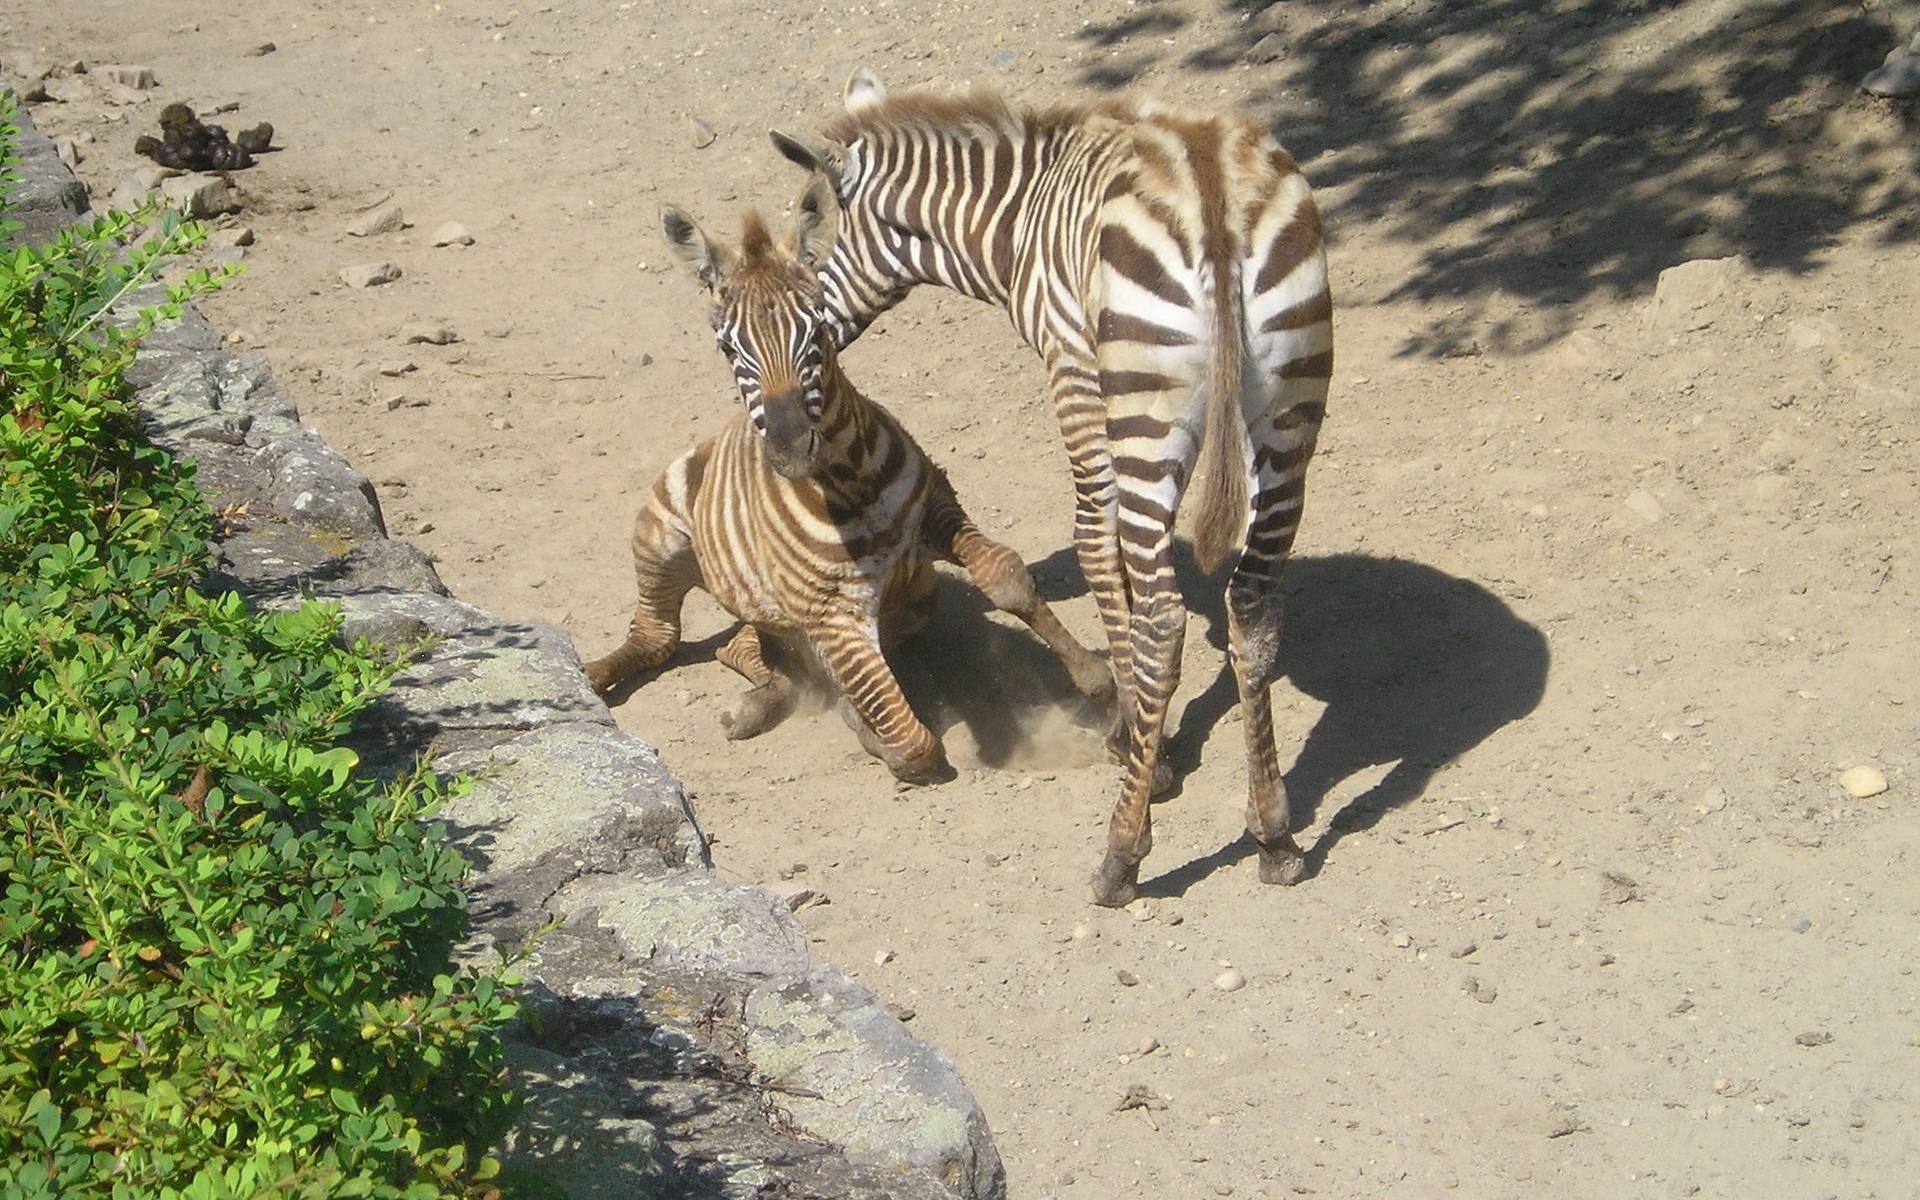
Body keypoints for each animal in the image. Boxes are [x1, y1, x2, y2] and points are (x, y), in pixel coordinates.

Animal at [579, 182, 1113, 787]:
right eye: (726, 347)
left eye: (818, 328)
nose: (789, 446)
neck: (851, 481)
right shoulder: (834, 617)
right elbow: (915, 744)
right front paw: (865, 727)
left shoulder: (936, 510)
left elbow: (1006, 575)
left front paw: (1101, 687)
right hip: (662, 540)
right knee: (657, 637)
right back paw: (593, 676)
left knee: (739, 648)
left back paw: (754, 703)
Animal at [771, 70, 1344, 902]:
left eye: (809, 229)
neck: (1017, 219)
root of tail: (1212, 191)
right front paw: (1143, 734)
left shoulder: (1071, 369)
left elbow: (1097, 547)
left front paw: (1134, 739)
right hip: (1289, 417)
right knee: (1253, 611)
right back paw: (1274, 836)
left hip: (1145, 409)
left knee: (1165, 620)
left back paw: (1122, 854)